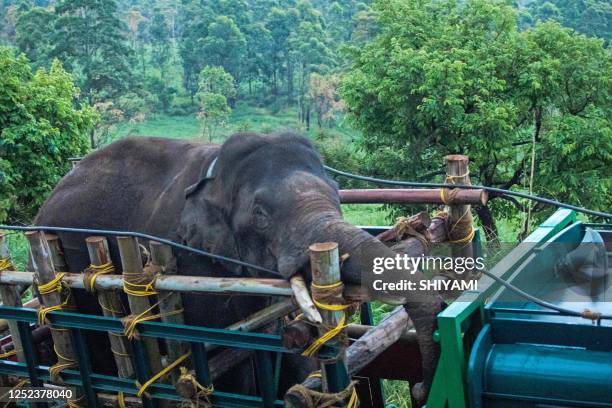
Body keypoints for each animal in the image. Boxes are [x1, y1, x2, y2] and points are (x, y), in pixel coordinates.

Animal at [33, 132, 442, 404]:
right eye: (260, 215)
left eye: (338, 195)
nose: (422, 388)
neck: (214, 174)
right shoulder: (189, 261)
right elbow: (228, 361)